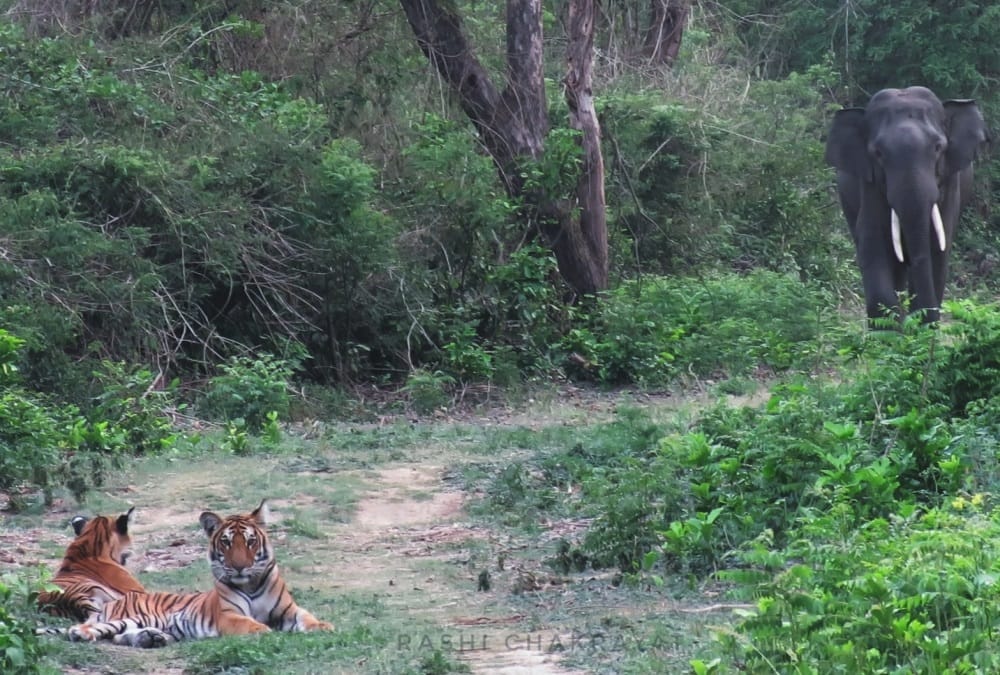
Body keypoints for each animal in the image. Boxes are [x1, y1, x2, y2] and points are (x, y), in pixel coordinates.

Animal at [64, 499, 333, 648]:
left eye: (250, 541)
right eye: (226, 542)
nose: (239, 567)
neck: (251, 583)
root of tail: (116, 600)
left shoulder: (289, 610)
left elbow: (307, 617)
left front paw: (323, 626)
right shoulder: (229, 616)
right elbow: (250, 623)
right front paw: (263, 630)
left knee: (119, 636)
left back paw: (152, 639)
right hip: (131, 617)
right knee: (96, 629)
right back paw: (79, 633)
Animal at [825, 86, 988, 325]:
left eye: (938, 147)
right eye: (878, 153)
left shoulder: (950, 183)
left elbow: (938, 250)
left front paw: (921, 326)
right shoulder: (870, 183)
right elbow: (872, 243)